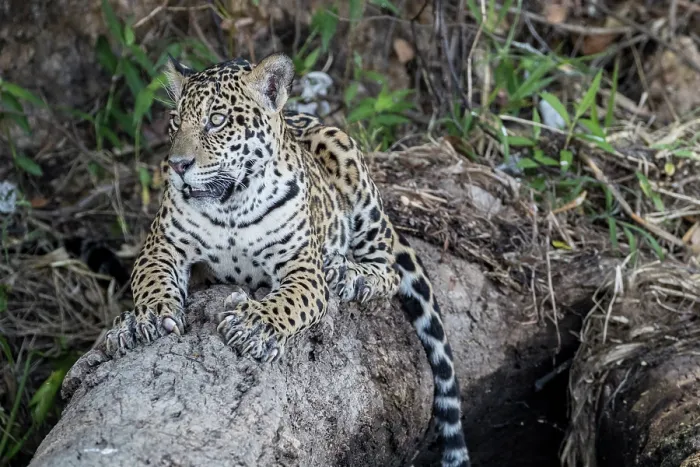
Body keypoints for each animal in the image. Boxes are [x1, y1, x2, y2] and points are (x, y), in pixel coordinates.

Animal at [104, 52, 470, 467]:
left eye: (217, 120)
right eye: (175, 121)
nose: (178, 165)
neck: (230, 203)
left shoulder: (301, 268)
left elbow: (290, 301)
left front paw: (253, 327)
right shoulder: (161, 246)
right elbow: (152, 281)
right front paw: (142, 320)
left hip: (342, 149)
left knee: (388, 266)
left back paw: (348, 273)